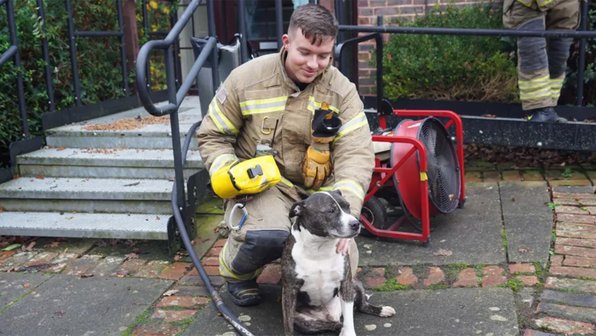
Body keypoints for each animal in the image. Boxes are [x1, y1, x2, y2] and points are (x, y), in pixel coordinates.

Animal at [280, 192, 394, 336]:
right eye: (331, 211)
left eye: (348, 206)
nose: (356, 223)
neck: (320, 247)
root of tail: (331, 315)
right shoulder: (289, 290)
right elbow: (288, 324)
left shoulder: (345, 283)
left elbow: (349, 319)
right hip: (306, 323)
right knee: (335, 325)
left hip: (355, 283)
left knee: (361, 306)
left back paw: (382, 310)